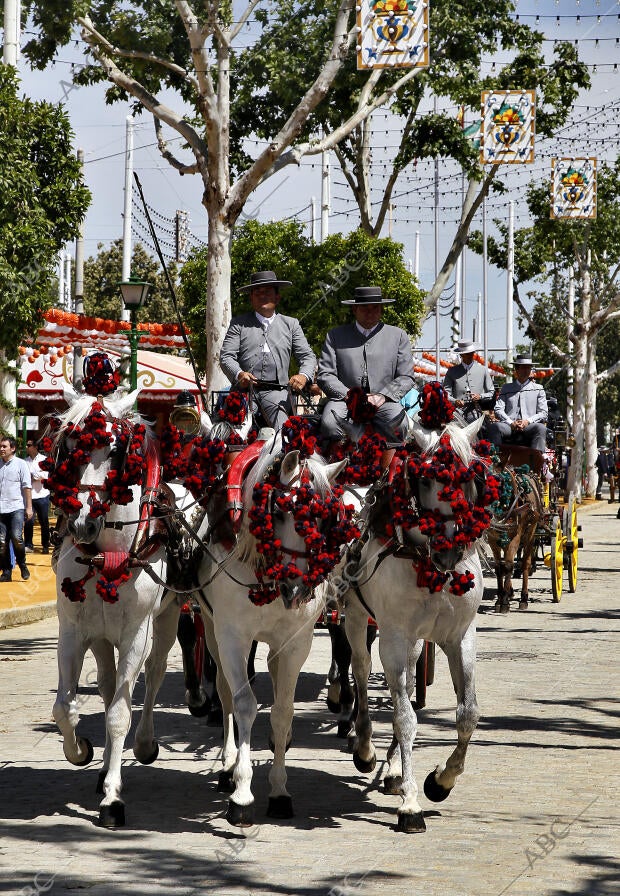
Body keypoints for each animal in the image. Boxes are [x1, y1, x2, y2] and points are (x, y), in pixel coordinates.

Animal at [486, 444, 544, 612]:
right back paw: (511, 592)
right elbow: (499, 567)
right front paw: (500, 598)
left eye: (498, 481)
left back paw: (523, 597)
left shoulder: (517, 536)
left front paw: (504, 602)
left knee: (525, 563)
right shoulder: (492, 539)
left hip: (531, 533)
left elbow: (509, 565)